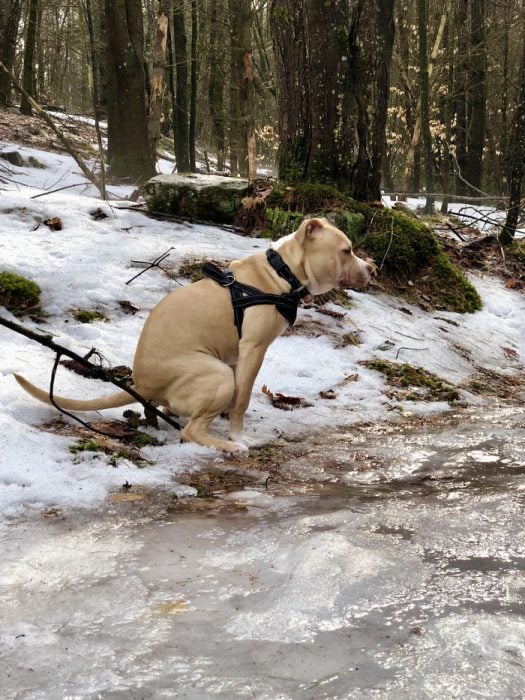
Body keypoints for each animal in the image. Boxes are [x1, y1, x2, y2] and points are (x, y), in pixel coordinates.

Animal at [13, 219, 372, 454]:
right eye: (347, 250)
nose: (373, 269)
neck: (280, 273)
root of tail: (142, 384)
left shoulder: (238, 356)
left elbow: (239, 397)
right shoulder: (253, 349)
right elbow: (242, 398)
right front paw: (239, 435)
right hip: (216, 375)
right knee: (190, 430)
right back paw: (227, 445)